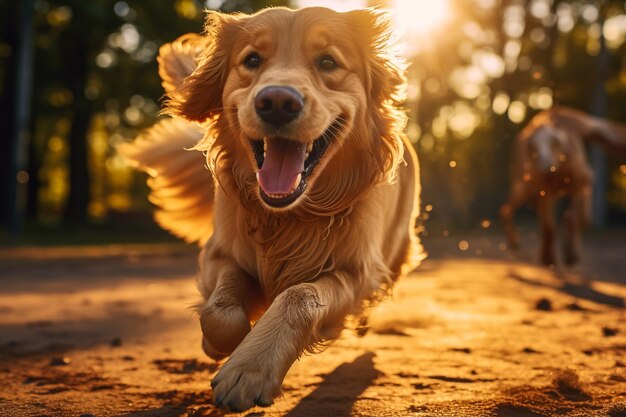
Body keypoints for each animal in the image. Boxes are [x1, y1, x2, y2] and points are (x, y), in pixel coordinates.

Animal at [119, 8, 422, 412]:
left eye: (328, 61)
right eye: (251, 60)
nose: (277, 101)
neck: (289, 216)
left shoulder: (356, 270)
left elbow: (299, 296)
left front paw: (249, 369)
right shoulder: (221, 252)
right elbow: (219, 310)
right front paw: (218, 344)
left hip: (395, 249)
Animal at [498, 105, 624, 264]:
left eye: (554, 144)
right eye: (533, 148)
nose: (545, 170)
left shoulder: (577, 184)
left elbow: (572, 217)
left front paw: (570, 253)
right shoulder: (543, 192)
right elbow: (549, 225)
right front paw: (548, 258)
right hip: (525, 185)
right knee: (506, 208)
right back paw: (515, 243)